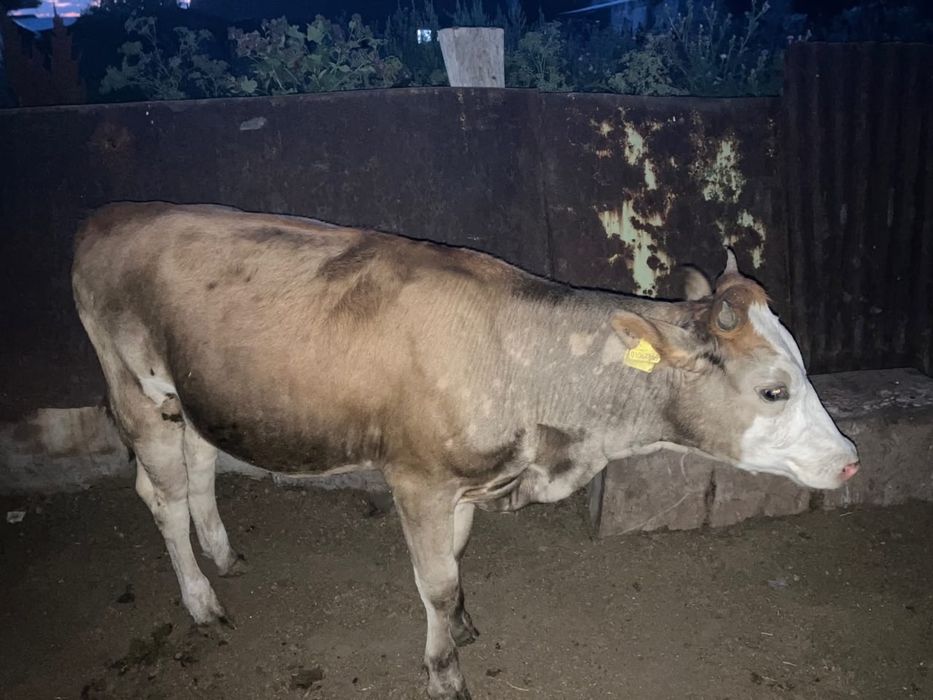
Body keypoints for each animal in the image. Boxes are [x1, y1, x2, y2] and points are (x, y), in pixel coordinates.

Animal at [72, 202, 859, 700]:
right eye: (773, 390)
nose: (850, 458)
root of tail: (112, 215)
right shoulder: (417, 479)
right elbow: (436, 580)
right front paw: (444, 673)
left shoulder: (468, 482)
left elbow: (455, 560)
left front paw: (461, 629)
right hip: (133, 386)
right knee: (163, 495)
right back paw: (201, 599)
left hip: (195, 396)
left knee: (201, 464)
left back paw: (224, 553)